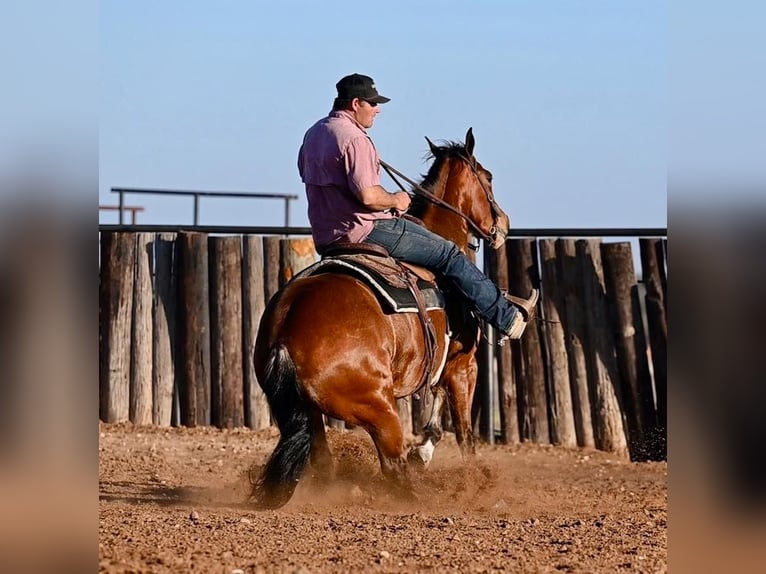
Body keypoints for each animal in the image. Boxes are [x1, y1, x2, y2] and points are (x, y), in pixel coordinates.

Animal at [252, 129, 512, 508]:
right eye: (488, 177)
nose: (503, 223)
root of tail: (285, 335)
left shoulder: (441, 365)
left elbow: (437, 412)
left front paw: (425, 450)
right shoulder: (463, 366)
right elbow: (465, 434)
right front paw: (475, 484)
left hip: (308, 413)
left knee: (324, 462)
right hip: (379, 408)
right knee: (393, 467)